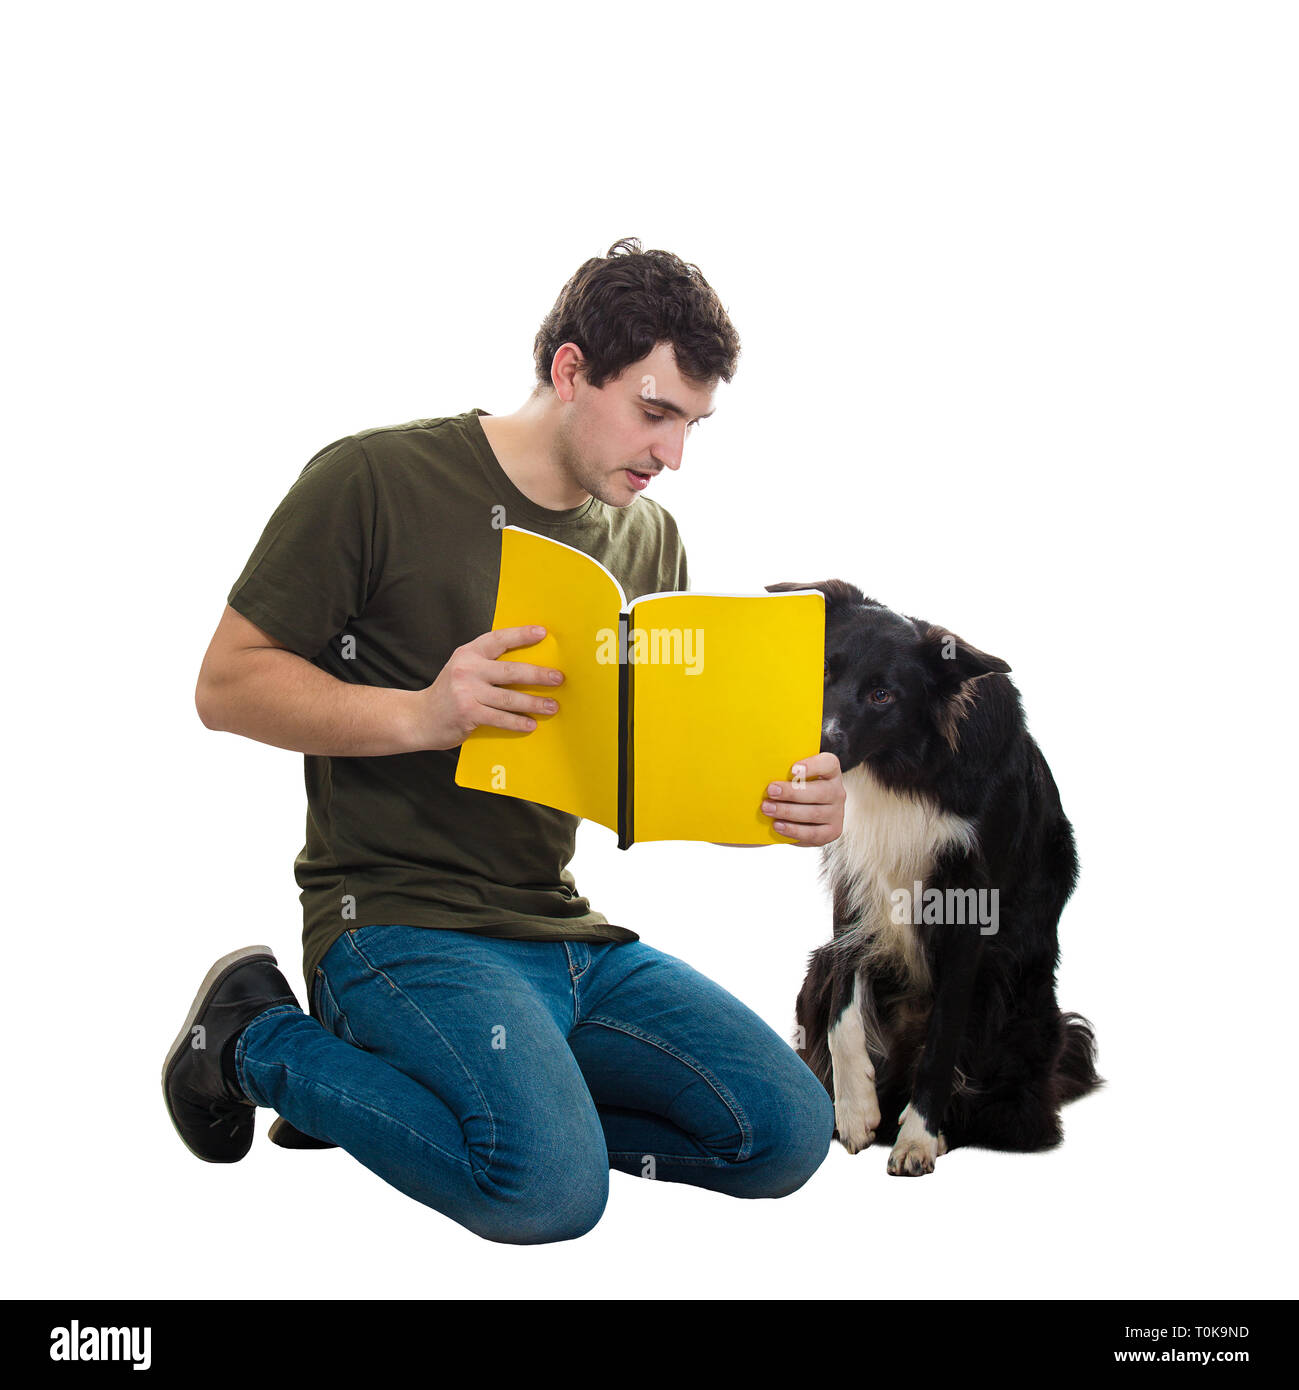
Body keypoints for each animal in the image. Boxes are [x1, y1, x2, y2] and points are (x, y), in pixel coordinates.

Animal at [766, 581, 1100, 1178]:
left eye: (883, 696)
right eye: (824, 670)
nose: (816, 751)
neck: (902, 767)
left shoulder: (968, 911)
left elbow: (944, 1036)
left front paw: (918, 1137)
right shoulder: (854, 885)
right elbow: (843, 1010)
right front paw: (855, 1110)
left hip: (1019, 1009)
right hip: (815, 969)